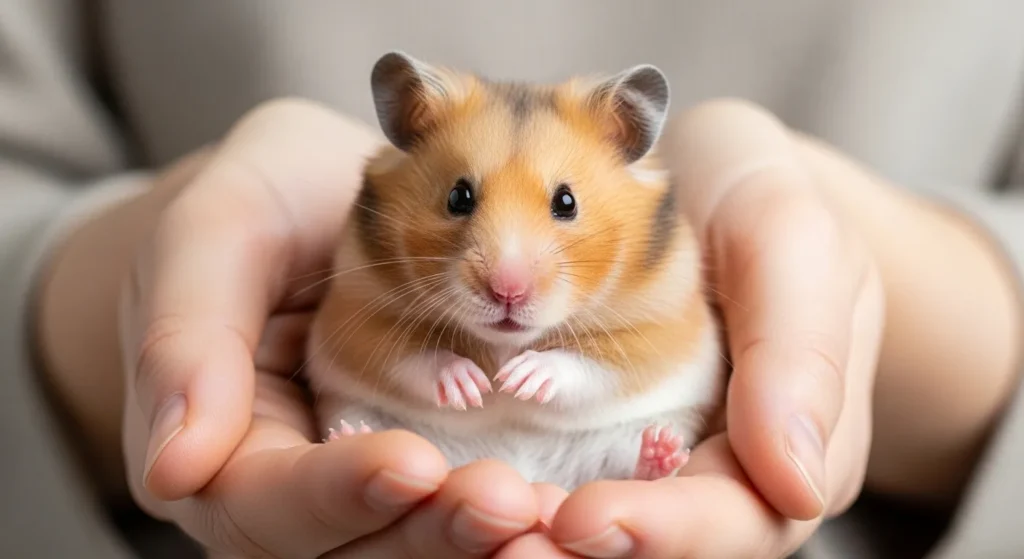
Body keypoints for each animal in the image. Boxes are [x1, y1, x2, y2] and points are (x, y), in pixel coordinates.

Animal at [304, 51, 727, 491]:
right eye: (458, 196)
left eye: (567, 202)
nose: (507, 292)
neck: (505, 343)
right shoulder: (360, 318)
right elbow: (414, 356)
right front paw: (472, 386)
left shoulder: (656, 332)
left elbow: (589, 366)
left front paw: (520, 380)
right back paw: (350, 437)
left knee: (628, 470)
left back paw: (659, 453)